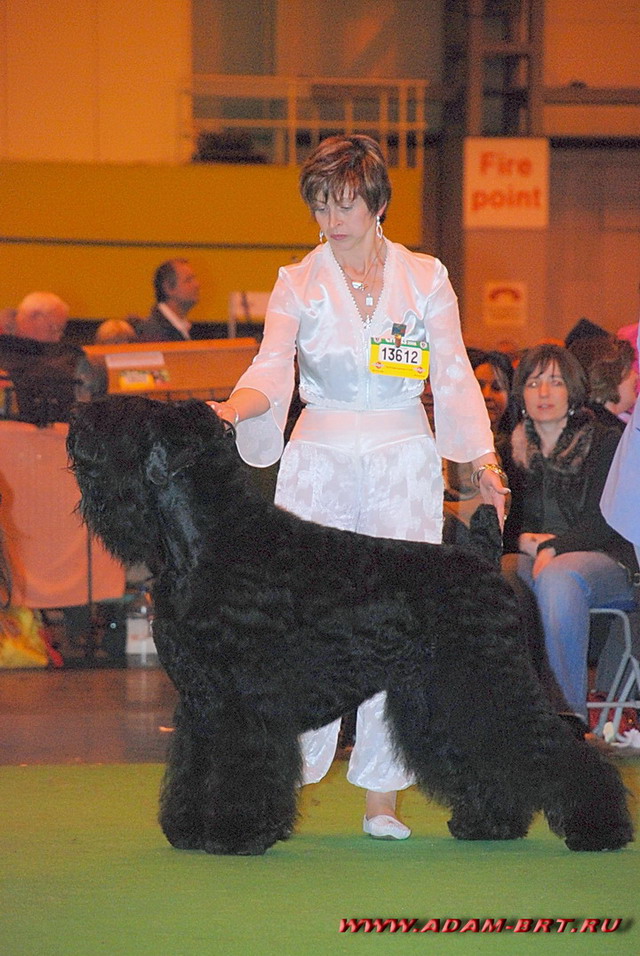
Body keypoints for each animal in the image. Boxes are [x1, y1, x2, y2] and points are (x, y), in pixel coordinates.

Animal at [67, 396, 633, 855]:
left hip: (487, 680)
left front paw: (233, 835)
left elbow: (238, 769)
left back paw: (599, 830)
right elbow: (192, 766)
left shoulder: (241, 701)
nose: (76, 421)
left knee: (551, 744)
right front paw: (188, 830)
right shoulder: (200, 700)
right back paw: (489, 824)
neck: (210, 539)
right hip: (440, 695)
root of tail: (482, 556)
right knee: (489, 756)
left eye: (134, 417)